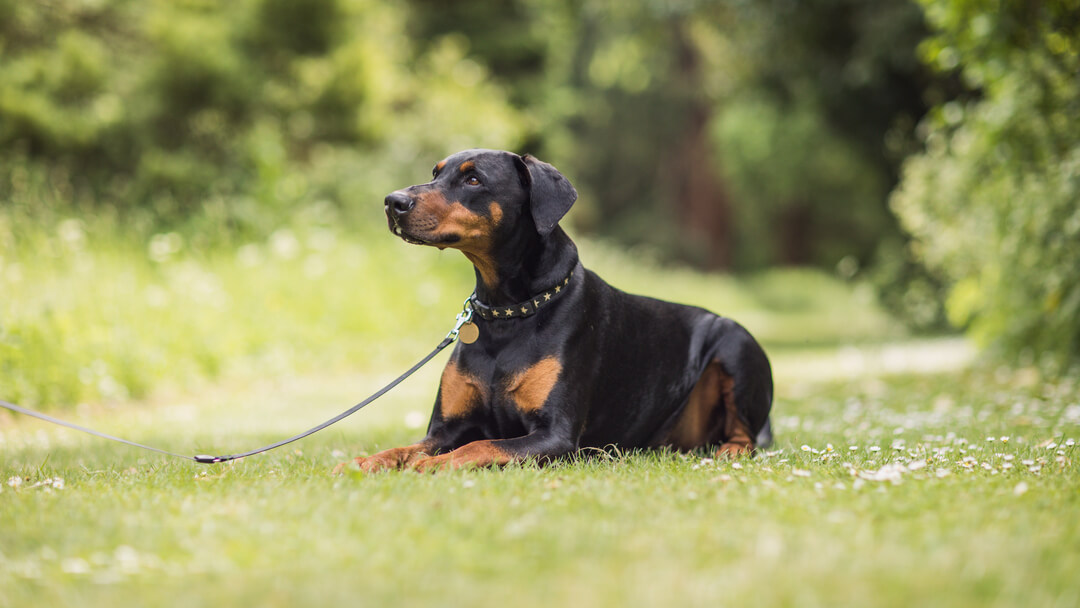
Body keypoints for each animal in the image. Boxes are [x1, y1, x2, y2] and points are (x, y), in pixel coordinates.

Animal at [341, 150, 773, 473]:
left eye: (474, 180)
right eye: (435, 172)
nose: (392, 202)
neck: (508, 312)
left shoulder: (556, 435)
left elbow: (482, 445)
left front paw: (434, 465)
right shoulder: (446, 429)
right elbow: (406, 448)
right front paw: (363, 461)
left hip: (735, 342)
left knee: (747, 437)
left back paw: (730, 451)